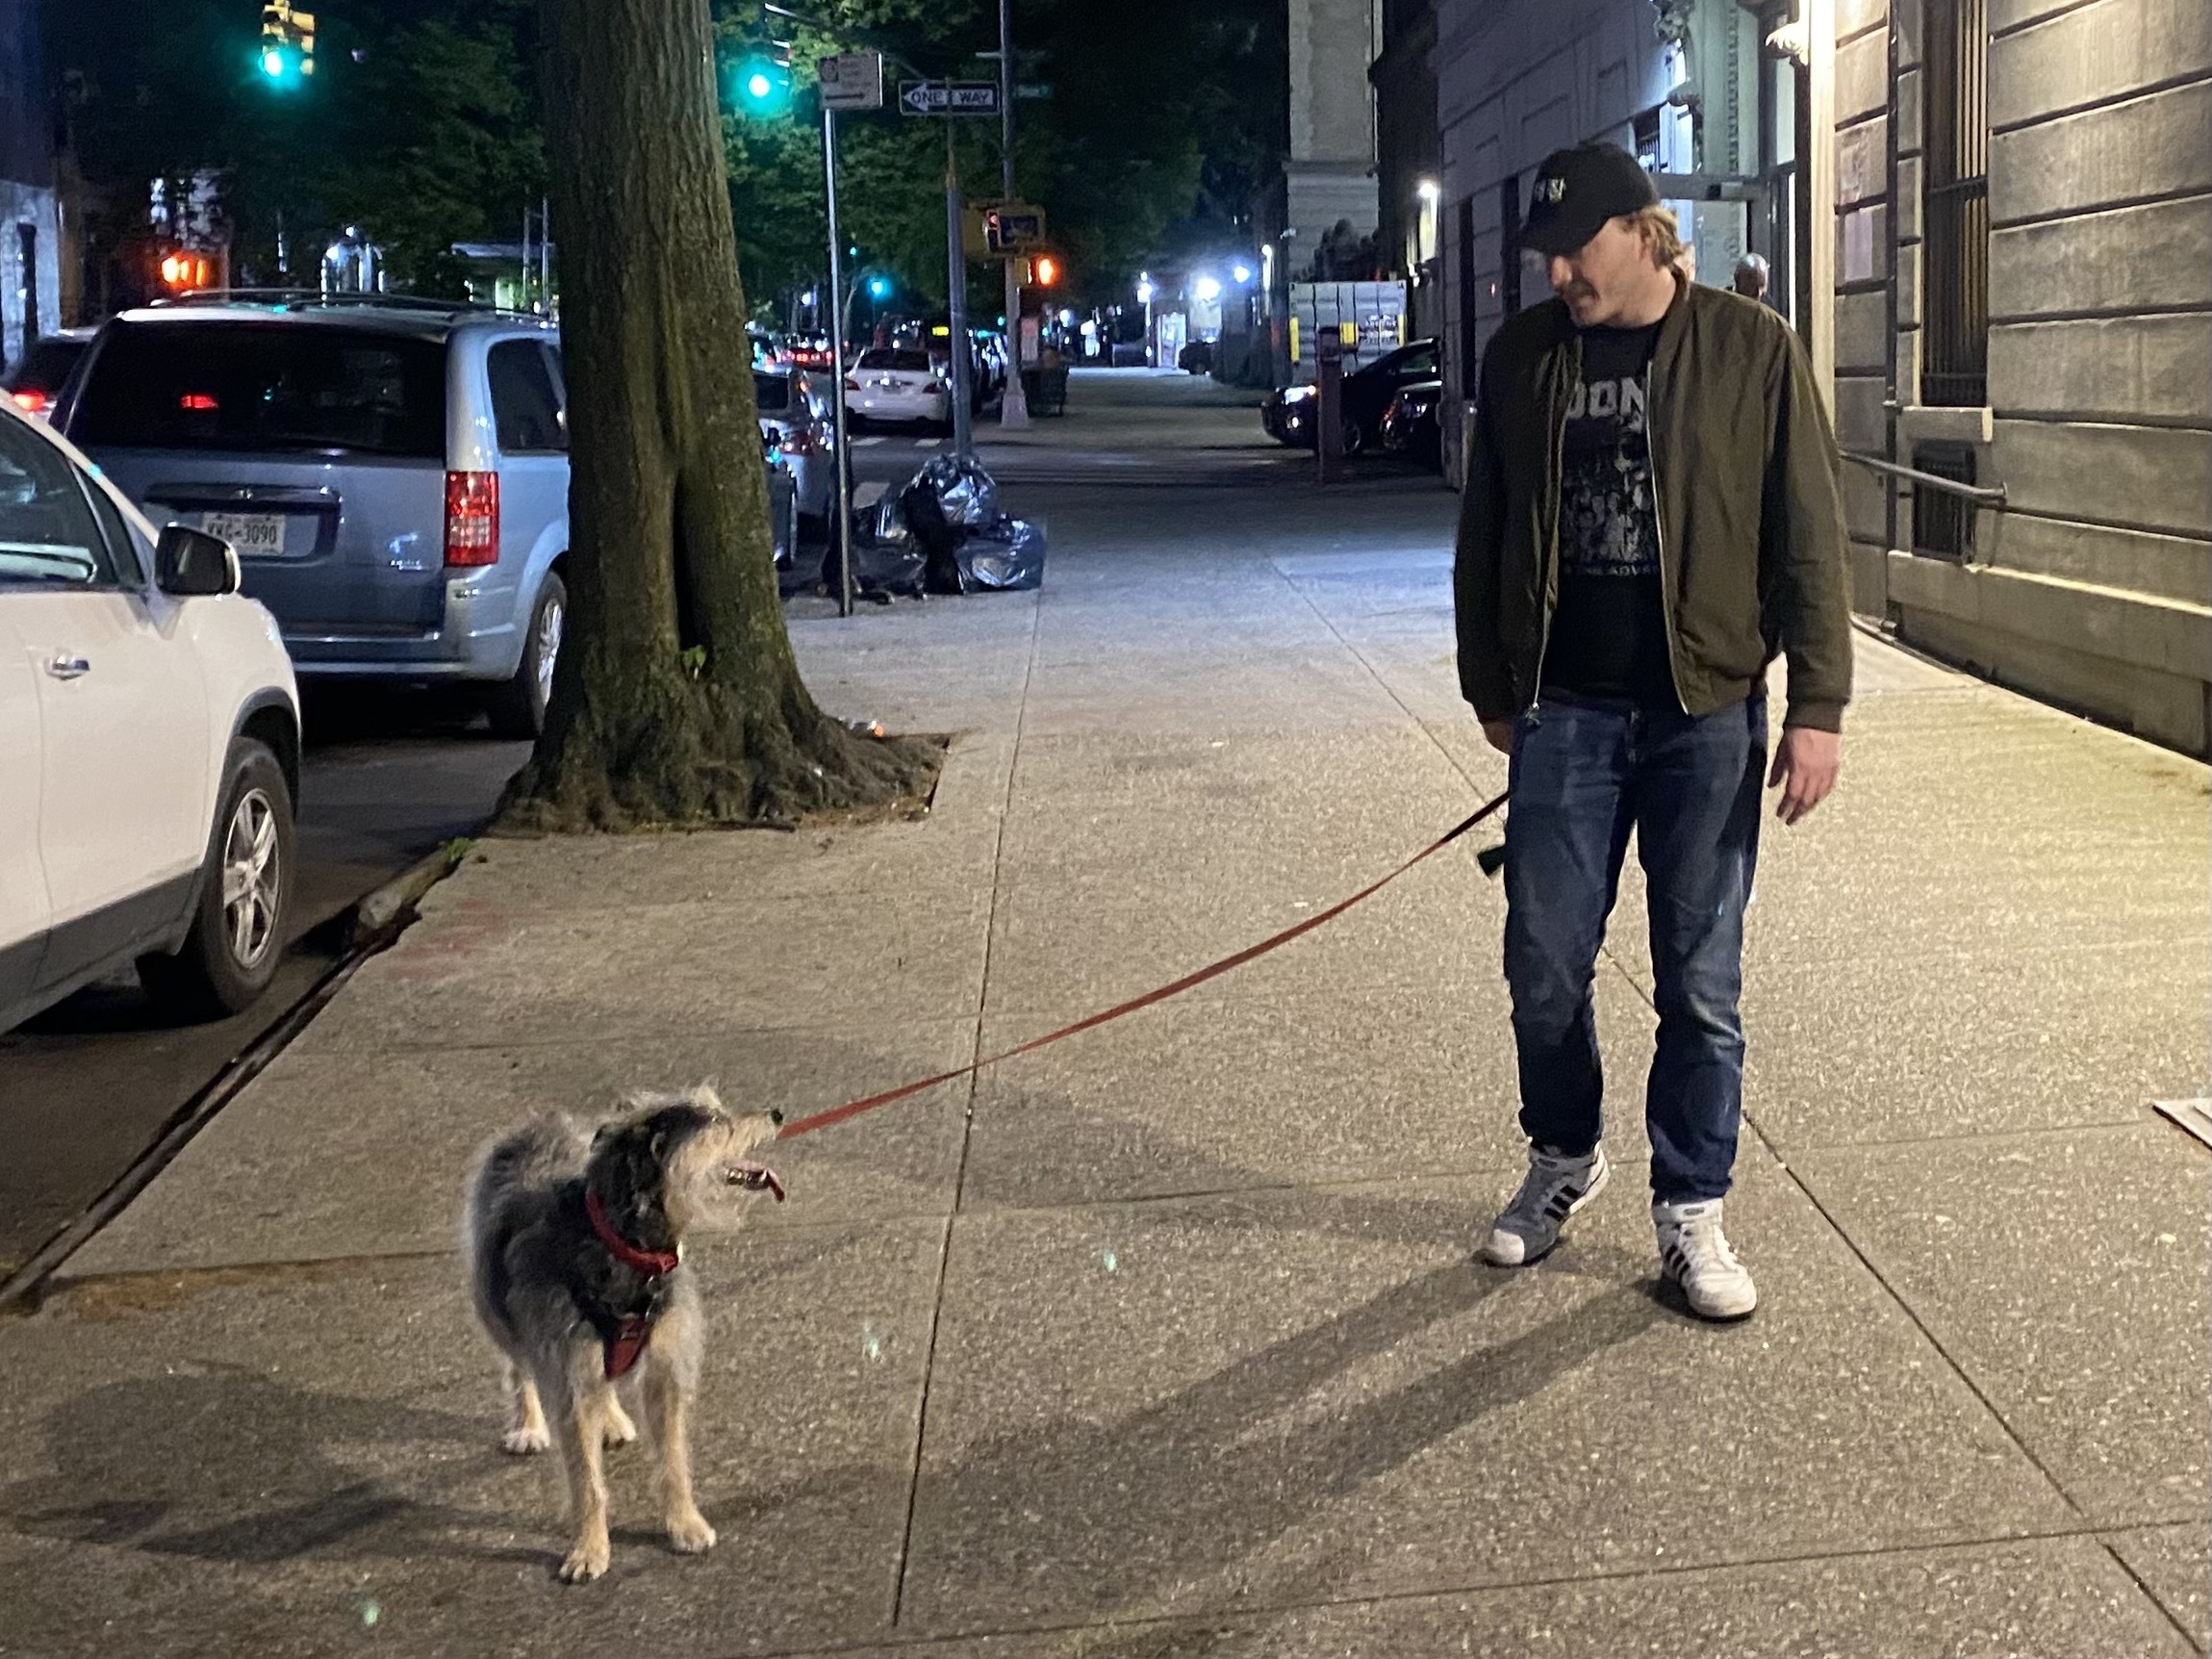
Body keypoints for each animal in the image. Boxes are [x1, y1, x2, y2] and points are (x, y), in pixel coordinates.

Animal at [462, 1092, 782, 1583]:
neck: (626, 1245)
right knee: (520, 1367)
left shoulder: (665, 1370)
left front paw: (684, 1523)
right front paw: (589, 1548)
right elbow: (587, 1482)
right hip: (499, 1307)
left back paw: (610, 1419)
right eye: (712, 1120)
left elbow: (674, 1461)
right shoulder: (567, 1368)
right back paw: (529, 1425)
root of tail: (536, 1126)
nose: (777, 1114)